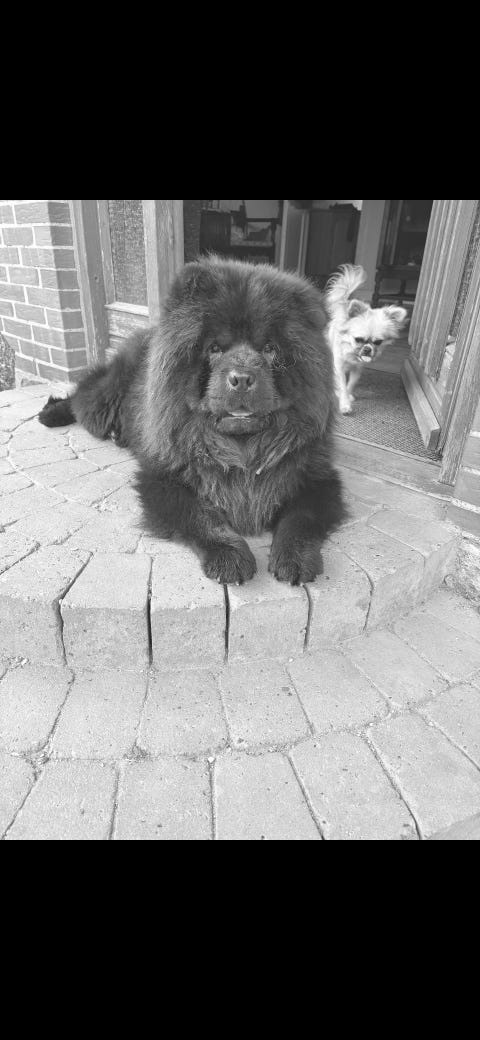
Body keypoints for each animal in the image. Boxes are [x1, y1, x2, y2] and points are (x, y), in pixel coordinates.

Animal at [39, 257, 346, 585]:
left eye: (269, 349)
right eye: (214, 349)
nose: (241, 377)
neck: (241, 450)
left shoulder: (316, 477)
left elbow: (301, 518)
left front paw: (294, 559)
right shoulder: (164, 478)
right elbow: (200, 516)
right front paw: (229, 557)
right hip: (101, 406)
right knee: (82, 396)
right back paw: (51, 414)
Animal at [324, 264, 407, 414]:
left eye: (378, 342)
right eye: (358, 339)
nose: (368, 349)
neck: (351, 354)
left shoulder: (358, 369)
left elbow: (350, 384)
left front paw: (348, 396)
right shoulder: (339, 366)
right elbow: (342, 384)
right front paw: (344, 403)